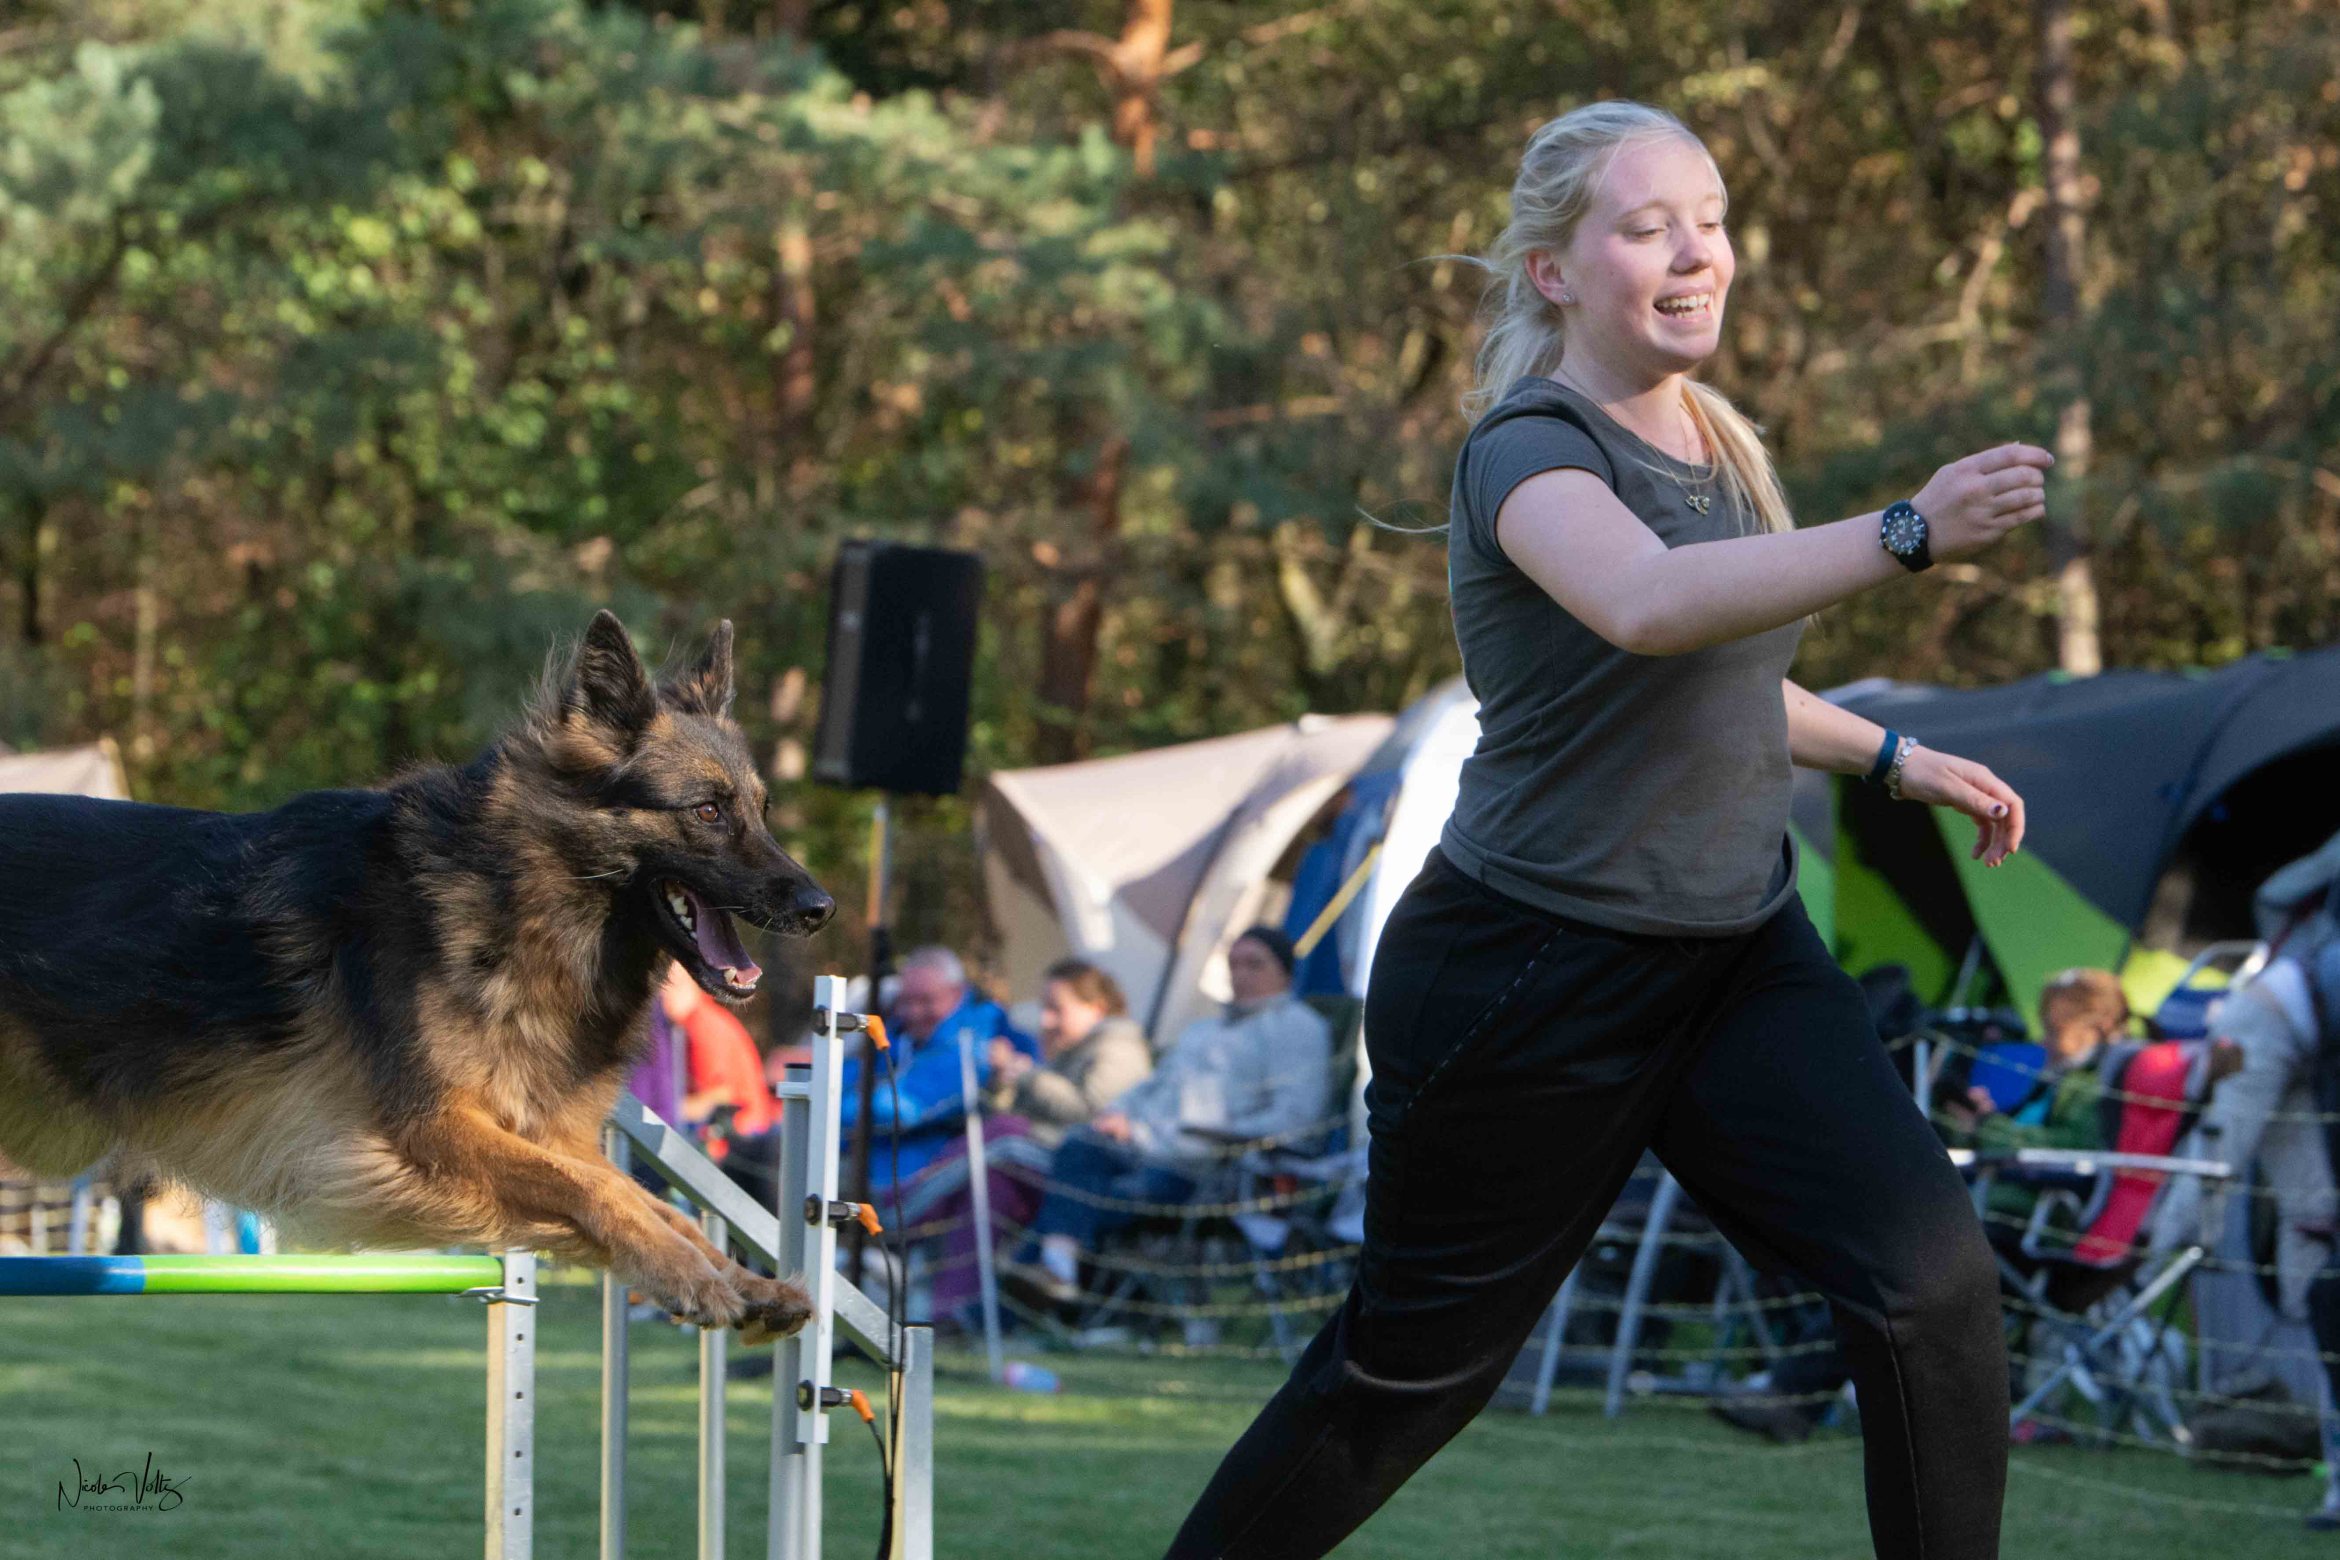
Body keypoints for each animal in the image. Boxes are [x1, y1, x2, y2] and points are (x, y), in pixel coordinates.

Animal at [0, 608, 837, 1347]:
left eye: (761, 809)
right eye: (707, 810)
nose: (819, 907)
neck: (512, 889)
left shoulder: (539, 1131)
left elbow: (657, 1206)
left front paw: (744, 1280)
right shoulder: (432, 1127)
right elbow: (604, 1192)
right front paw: (692, 1279)